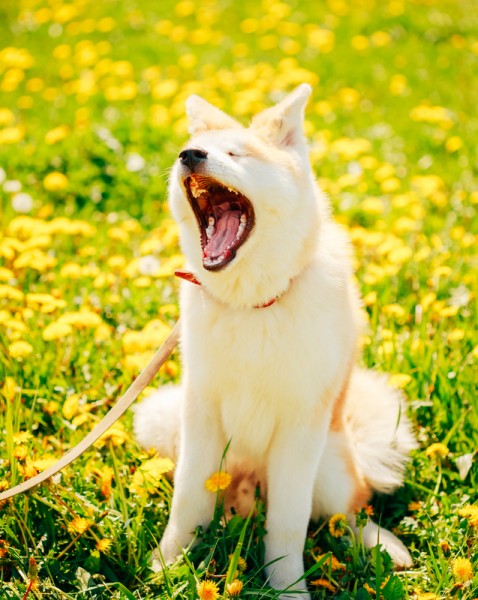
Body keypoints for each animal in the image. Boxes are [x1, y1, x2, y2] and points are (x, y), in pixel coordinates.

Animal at [134, 85, 414, 600]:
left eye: (235, 154)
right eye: (192, 149)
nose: (189, 155)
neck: (253, 305)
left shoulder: (300, 428)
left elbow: (287, 523)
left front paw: (287, 588)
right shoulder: (199, 415)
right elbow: (186, 505)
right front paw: (168, 567)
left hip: (330, 464)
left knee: (349, 511)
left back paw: (382, 545)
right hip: (169, 424)